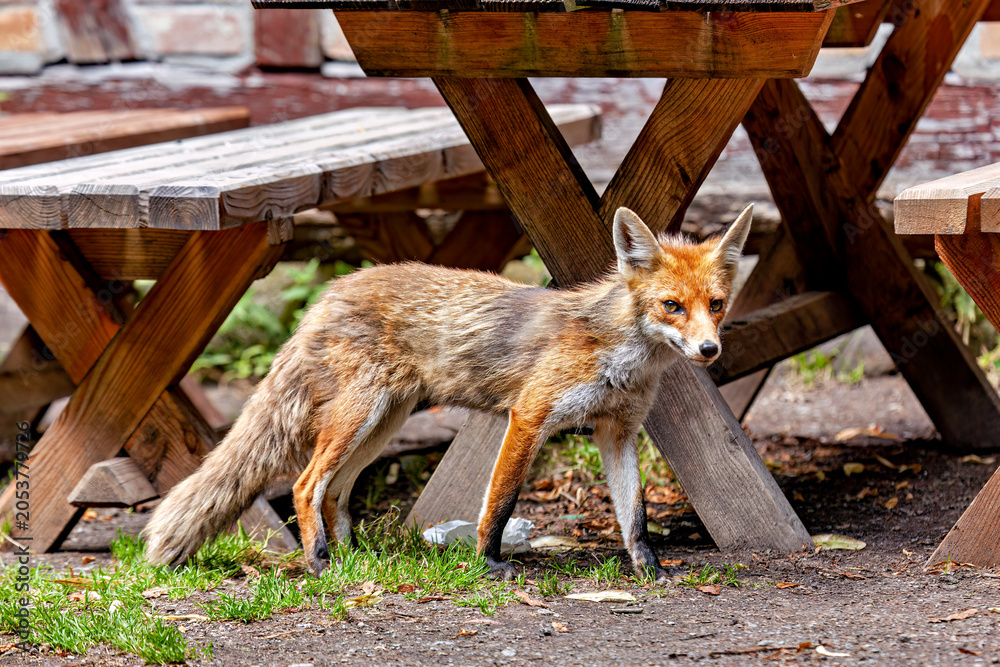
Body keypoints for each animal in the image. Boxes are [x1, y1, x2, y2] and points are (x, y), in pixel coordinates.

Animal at [142, 204, 754, 581]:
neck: (620, 356)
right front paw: (490, 565)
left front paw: (649, 569)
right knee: (305, 483)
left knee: (335, 491)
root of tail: (330, 291)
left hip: (381, 425)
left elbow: (635, 514)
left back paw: (354, 558)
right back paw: (319, 562)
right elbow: (500, 502)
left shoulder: (617, 432)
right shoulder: (529, 416)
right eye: (671, 305)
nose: (708, 350)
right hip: (359, 417)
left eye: (716, 304)